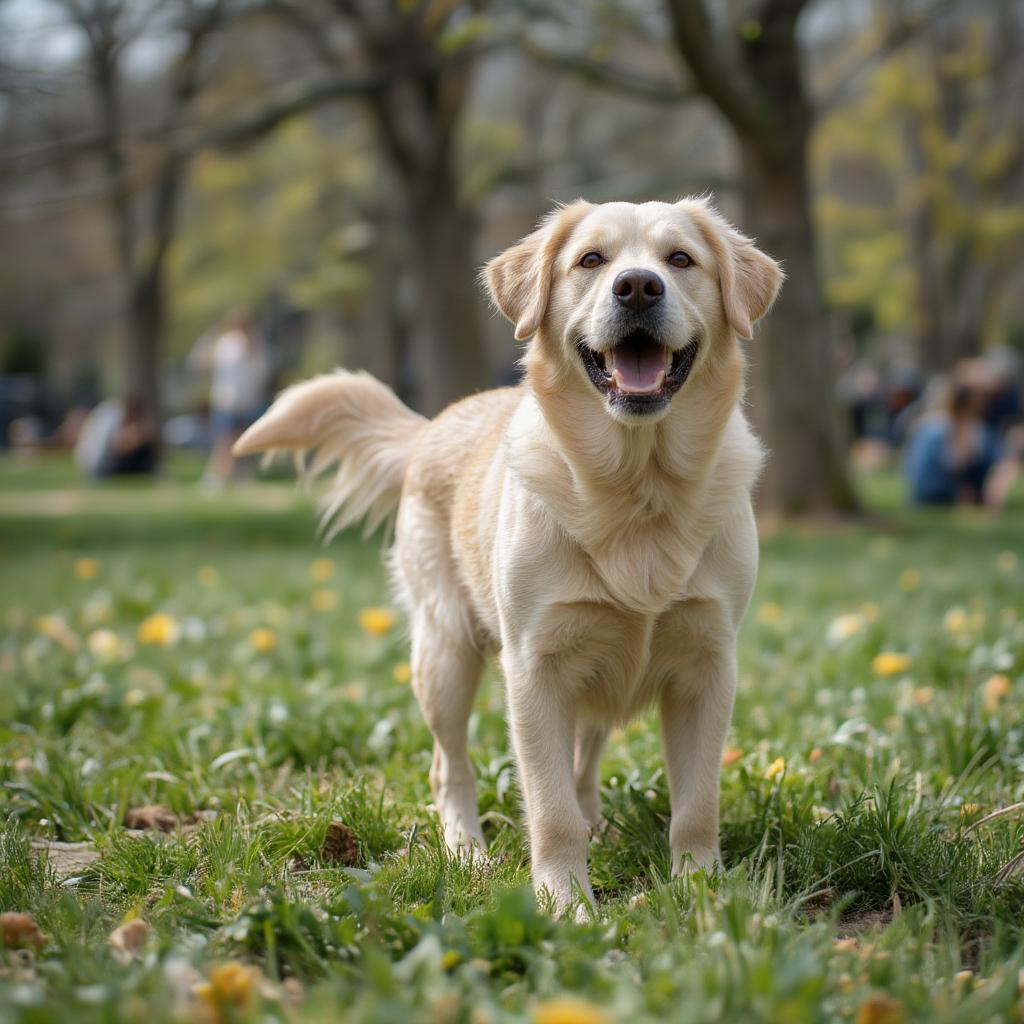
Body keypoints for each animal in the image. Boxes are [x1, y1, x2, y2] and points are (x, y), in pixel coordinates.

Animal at [235, 199, 782, 913]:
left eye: (681, 259)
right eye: (591, 260)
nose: (638, 287)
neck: (638, 486)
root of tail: (431, 426)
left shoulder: (708, 664)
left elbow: (696, 804)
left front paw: (704, 892)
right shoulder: (535, 666)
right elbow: (548, 810)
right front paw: (565, 902)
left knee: (583, 765)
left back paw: (595, 825)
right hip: (446, 653)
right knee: (449, 768)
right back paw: (465, 851)